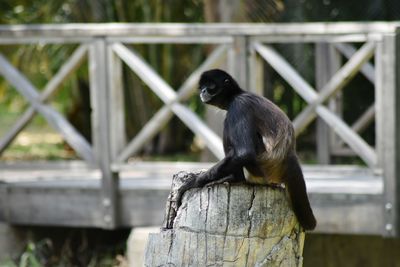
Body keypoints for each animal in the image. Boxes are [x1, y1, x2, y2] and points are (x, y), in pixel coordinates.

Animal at [177, 68, 318, 230]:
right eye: (202, 87)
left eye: (210, 85)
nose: (203, 91)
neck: (237, 94)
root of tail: (290, 156)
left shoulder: (239, 106)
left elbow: (245, 153)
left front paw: (193, 182)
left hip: (260, 168)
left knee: (228, 124)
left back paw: (235, 178)